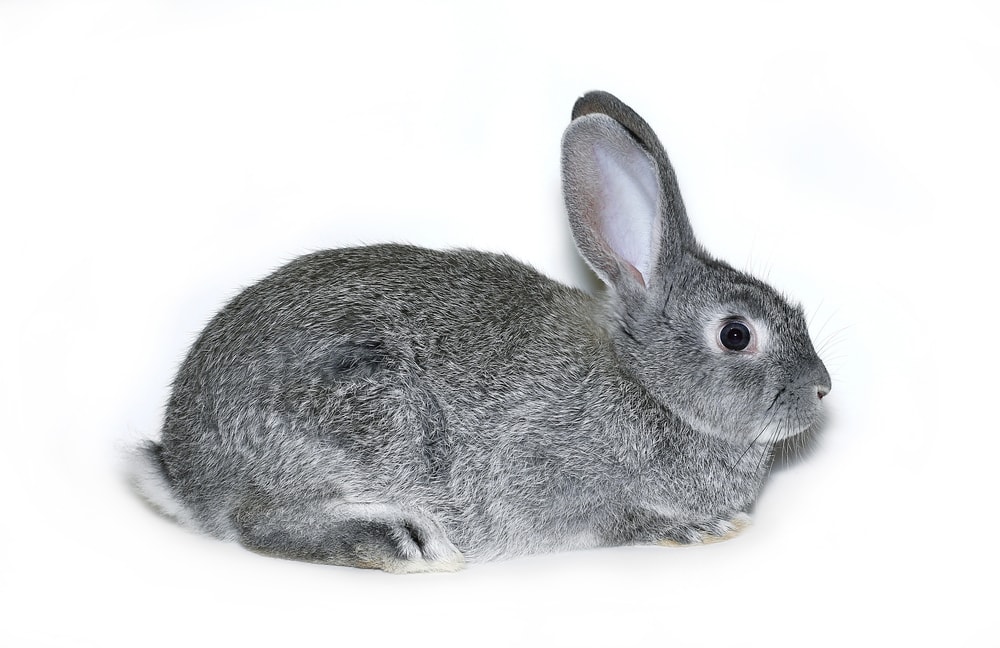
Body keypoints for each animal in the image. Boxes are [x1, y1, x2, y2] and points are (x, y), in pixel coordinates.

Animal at [133, 90, 831, 573]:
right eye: (737, 335)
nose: (822, 389)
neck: (650, 385)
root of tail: (185, 472)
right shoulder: (551, 478)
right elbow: (613, 516)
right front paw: (696, 528)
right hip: (363, 417)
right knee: (258, 521)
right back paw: (404, 542)